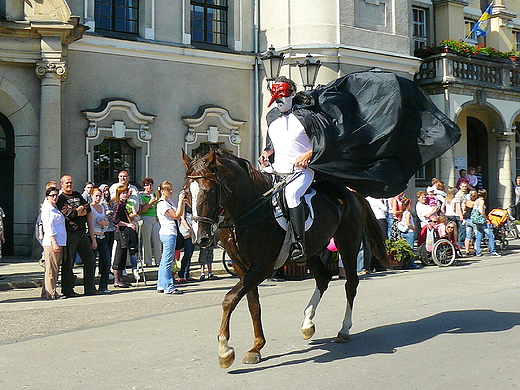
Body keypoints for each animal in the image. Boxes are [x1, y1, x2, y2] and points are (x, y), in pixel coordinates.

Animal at [181, 148, 388, 368]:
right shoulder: (241, 266)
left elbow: (230, 299)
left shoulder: (262, 266)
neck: (247, 211)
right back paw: (308, 323)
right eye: (186, 194)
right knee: (323, 277)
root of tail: (352, 192)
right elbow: (252, 304)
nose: (200, 238)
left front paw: (224, 350)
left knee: (350, 284)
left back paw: (344, 329)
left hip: (348, 244)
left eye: (209, 191)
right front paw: (256, 347)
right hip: (311, 251)